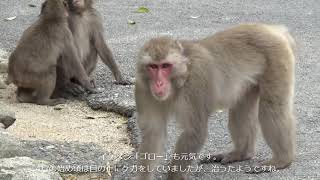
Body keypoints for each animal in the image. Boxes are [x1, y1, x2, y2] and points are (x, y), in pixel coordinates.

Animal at [134, 23, 296, 179]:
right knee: (241, 109)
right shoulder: (143, 90)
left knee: (271, 108)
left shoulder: (196, 84)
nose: (159, 83)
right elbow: (153, 132)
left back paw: (282, 159)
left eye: (165, 66)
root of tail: (270, 28)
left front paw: (175, 176)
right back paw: (241, 153)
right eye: (153, 66)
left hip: (276, 58)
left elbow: (194, 131)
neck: (182, 77)